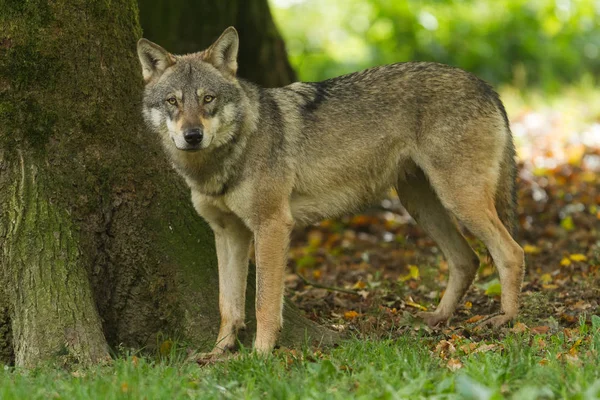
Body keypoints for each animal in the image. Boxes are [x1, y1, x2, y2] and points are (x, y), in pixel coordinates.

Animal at [137, 26, 524, 354]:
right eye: (172, 101)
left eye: (208, 99)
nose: (192, 136)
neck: (223, 160)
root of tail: (486, 86)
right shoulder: (228, 233)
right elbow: (227, 305)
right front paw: (218, 354)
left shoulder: (272, 226)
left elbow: (264, 302)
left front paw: (260, 356)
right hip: (422, 205)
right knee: (467, 259)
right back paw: (436, 319)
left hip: (459, 201)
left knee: (511, 251)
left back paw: (505, 321)